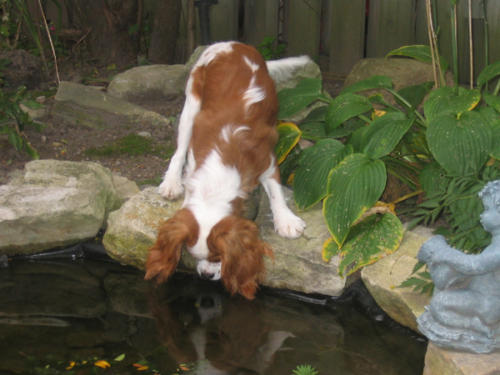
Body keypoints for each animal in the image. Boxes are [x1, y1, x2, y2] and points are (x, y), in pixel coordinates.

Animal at [145, 41, 306, 300]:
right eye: (195, 257)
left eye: (218, 258)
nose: (206, 276)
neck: (216, 182)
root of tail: (234, 44)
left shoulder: (267, 159)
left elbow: (275, 191)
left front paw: (285, 221)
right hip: (191, 104)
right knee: (179, 150)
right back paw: (171, 183)